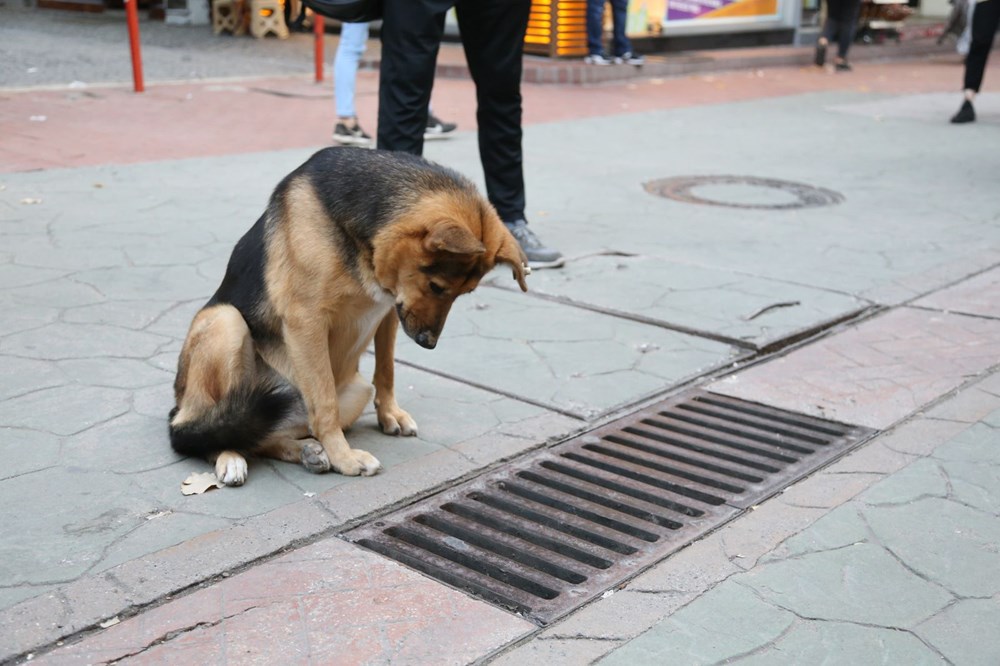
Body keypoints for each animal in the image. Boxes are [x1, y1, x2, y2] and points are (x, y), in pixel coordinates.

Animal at [170, 148, 532, 486]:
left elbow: (386, 371)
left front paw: (389, 415)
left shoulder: (390, 311)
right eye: (436, 286)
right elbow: (324, 404)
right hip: (226, 322)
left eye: (464, 293)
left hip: (354, 392)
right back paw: (230, 455)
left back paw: (306, 451)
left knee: (263, 437)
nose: (428, 343)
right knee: (202, 432)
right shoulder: (306, 320)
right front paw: (344, 458)